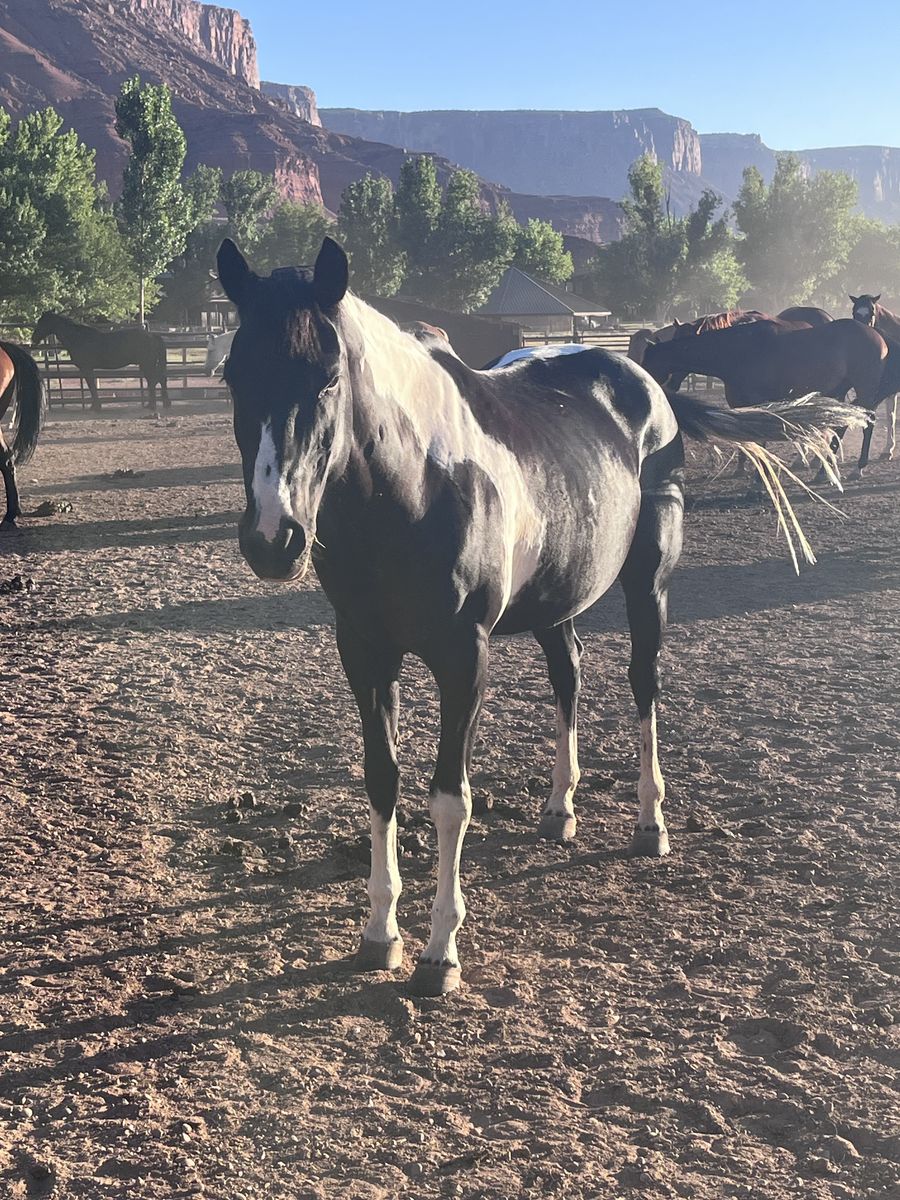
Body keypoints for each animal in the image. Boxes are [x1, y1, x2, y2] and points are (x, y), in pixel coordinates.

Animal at [32, 313, 169, 410]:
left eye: (42, 323)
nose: (33, 339)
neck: (78, 338)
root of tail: (152, 335)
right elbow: (92, 386)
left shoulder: (86, 368)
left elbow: (92, 387)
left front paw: (96, 407)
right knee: (159, 380)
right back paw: (161, 403)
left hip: (147, 365)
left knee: (154, 381)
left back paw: (152, 405)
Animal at [216, 236, 857, 996]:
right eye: (232, 376)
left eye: (328, 378)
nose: (272, 538)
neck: (413, 487)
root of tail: (649, 385)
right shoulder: (365, 651)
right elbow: (382, 781)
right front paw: (380, 933)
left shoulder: (464, 657)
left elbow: (450, 798)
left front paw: (441, 952)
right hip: (559, 598)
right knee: (568, 678)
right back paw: (559, 810)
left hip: (649, 585)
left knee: (644, 685)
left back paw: (650, 825)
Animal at [643, 319, 888, 474]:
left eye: (648, 363)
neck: (739, 351)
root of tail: (878, 337)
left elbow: (760, 442)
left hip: (865, 389)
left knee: (868, 423)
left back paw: (858, 468)